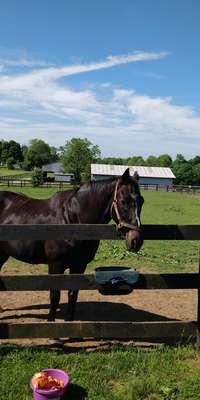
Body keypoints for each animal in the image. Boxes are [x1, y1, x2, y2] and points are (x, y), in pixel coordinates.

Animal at [0, 167, 144, 320]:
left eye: (141, 201)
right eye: (123, 201)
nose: (136, 240)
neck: (72, 219)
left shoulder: (79, 265)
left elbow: (73, 294)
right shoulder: (55, 265)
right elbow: (55, 296)